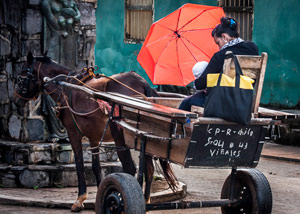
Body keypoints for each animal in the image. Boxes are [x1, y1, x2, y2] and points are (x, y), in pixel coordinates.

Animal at [14, 52, 177, 212]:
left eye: (22, 75)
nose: (17, 101)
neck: (65, 86)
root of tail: (142, 83)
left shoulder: (73, 133)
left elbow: (79, 164)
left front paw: (80, 200)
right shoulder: (94, 137)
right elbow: (96, 167)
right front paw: (100, 193)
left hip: (120, 136)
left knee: (130, 168)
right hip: (145, 139)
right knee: (149, 170)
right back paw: (145, 200)